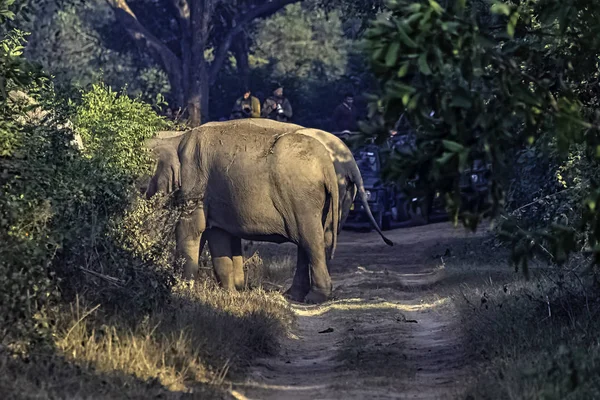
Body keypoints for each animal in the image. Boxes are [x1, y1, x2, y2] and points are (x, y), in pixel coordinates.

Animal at [146, 120, 338, 302]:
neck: (174, 139)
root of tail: (327, 166)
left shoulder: (194, 185)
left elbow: (190, 229)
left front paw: (180, 290)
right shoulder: (214, 199)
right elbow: (216, 235)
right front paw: (229, 293)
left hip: (302, 198)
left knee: (311, 240)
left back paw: (314, 298)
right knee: (304, 243)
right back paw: (293, 296)